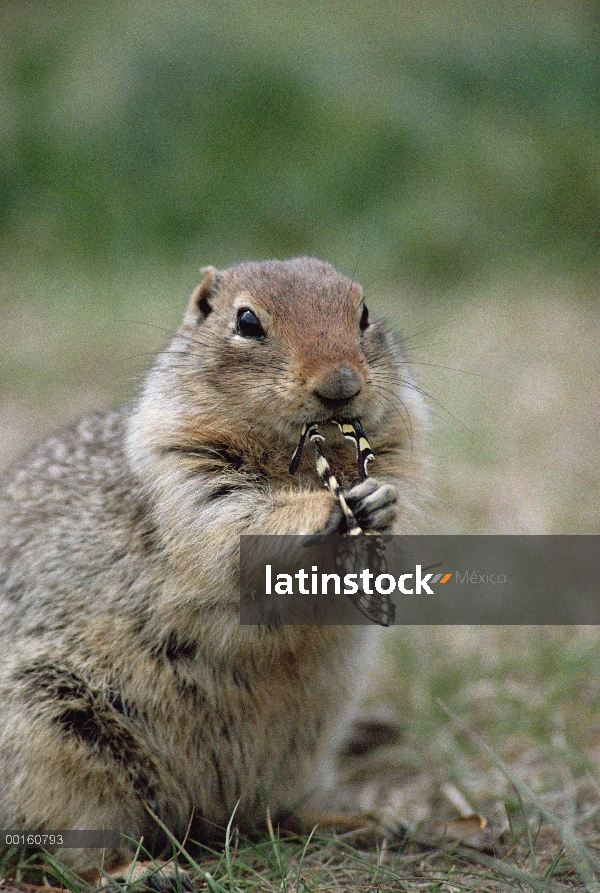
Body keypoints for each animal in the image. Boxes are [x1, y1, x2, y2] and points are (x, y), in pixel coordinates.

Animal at [0, 254, 426, 880]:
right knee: (73, 856)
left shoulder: (401, 448)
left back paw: (362, 820)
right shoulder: (185, 475)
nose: (340, 385)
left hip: (305, 746)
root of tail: (204, 818)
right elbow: (235, 527)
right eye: (247, 321)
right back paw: (145, 872)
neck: (300, 460)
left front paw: (379, 500)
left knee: (278, 813)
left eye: (364, 311)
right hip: (56, 739)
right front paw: (321, 508)